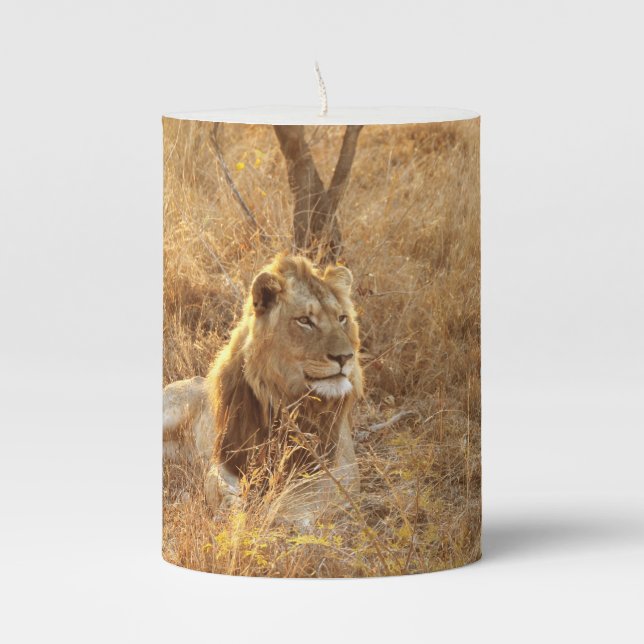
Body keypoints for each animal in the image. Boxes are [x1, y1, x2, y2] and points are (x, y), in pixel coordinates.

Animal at [163, 254, 363, 524]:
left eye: (342, 318)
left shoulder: (342, 467)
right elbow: (214, 483)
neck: (284, 399)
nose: (345, 357)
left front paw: (274, 514)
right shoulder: (227, 456)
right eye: (305, 321)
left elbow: (303, 496)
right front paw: (234, 509)